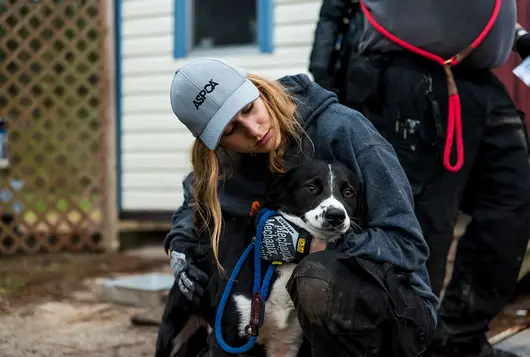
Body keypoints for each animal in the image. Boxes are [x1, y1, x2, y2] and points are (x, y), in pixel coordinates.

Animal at [155, 159, 366, 356]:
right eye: (311, 188)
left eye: (348, 193)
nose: (336, 215)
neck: (285, 262)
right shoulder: (224, 340)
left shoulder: (286, 344)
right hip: (173, 335)